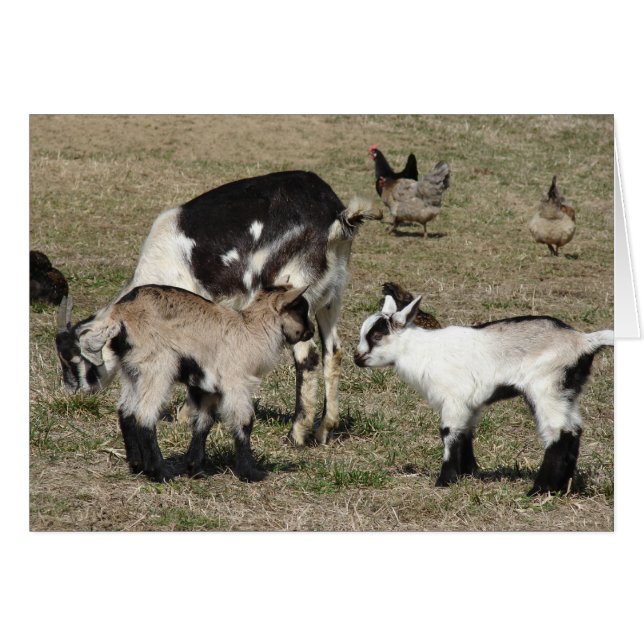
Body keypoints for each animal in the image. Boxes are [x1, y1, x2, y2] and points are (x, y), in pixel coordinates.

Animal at [56, 171, 378, 445]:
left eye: (73, 359)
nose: (73, 393)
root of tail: (335, 216)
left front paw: (186, 414)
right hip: (331, 296)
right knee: (333, 352)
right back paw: (324, 430)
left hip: (295, 291)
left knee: (308, 357)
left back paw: (297, 434)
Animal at [77, 284, 314, 482]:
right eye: (301, 310)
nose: (311, 331)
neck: (250, 332)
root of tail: (120, 314)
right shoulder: (236, 382)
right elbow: (244, 422)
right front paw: (251, 472)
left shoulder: (207, 388)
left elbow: (203, 423)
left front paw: (195, 469)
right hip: (158, 366)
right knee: (144, 415)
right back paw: (160, 473)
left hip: (131, 371)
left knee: (125, 411)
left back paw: (137, 465)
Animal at [353, 293, 613, 495]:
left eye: (376, 336)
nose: (356, 358)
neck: (421, 351)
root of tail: (584, 341)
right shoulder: (470, 403)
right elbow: (465, 432)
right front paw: (468, 472)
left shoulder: (454, 399)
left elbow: (449, 433)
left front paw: (445, 480)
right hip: (567, 390)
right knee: (574, 430)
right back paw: (563, 487)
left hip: (547, 386)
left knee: (558, 432)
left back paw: (540, 489)